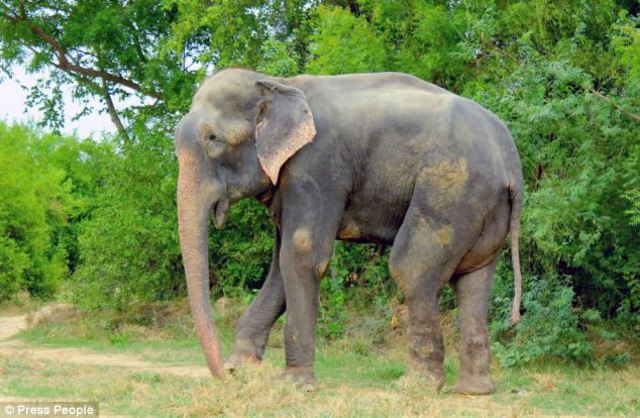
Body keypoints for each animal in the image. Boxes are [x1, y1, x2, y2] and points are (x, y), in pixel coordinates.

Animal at [175, 68, 523, 395]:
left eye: (214, 139)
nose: (223, 375)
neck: (278, 82)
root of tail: (511, 161)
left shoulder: (316, 166)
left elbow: (301, 253)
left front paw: (295, 385)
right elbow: (280, 267)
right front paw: (242, 368)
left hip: (451, 189)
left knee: (410, 268)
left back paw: (416, 385)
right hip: (484, 206)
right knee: (473, 279)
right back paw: (473, 390)